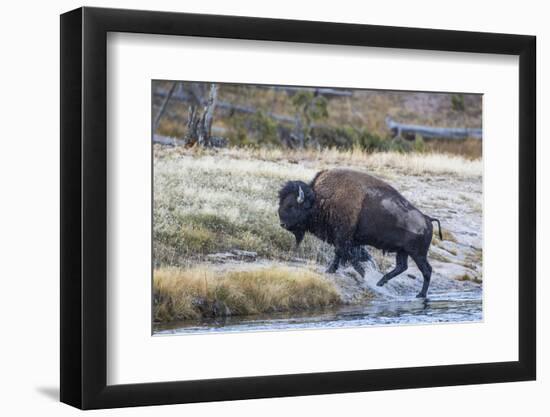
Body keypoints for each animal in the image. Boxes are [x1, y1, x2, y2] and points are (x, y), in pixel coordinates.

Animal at [280, 167, 444, 298]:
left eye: (291, 205)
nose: (282, 224)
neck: (320, 199)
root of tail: (427, 219)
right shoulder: (347, 241)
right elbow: (348, 256)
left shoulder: (343, 237)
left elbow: (344, 254)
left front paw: (339, 271)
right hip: (402, 251)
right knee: (402, 267)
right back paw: (380, 282)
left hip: (417, 254)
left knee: (426, 270)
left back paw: (420, 294)